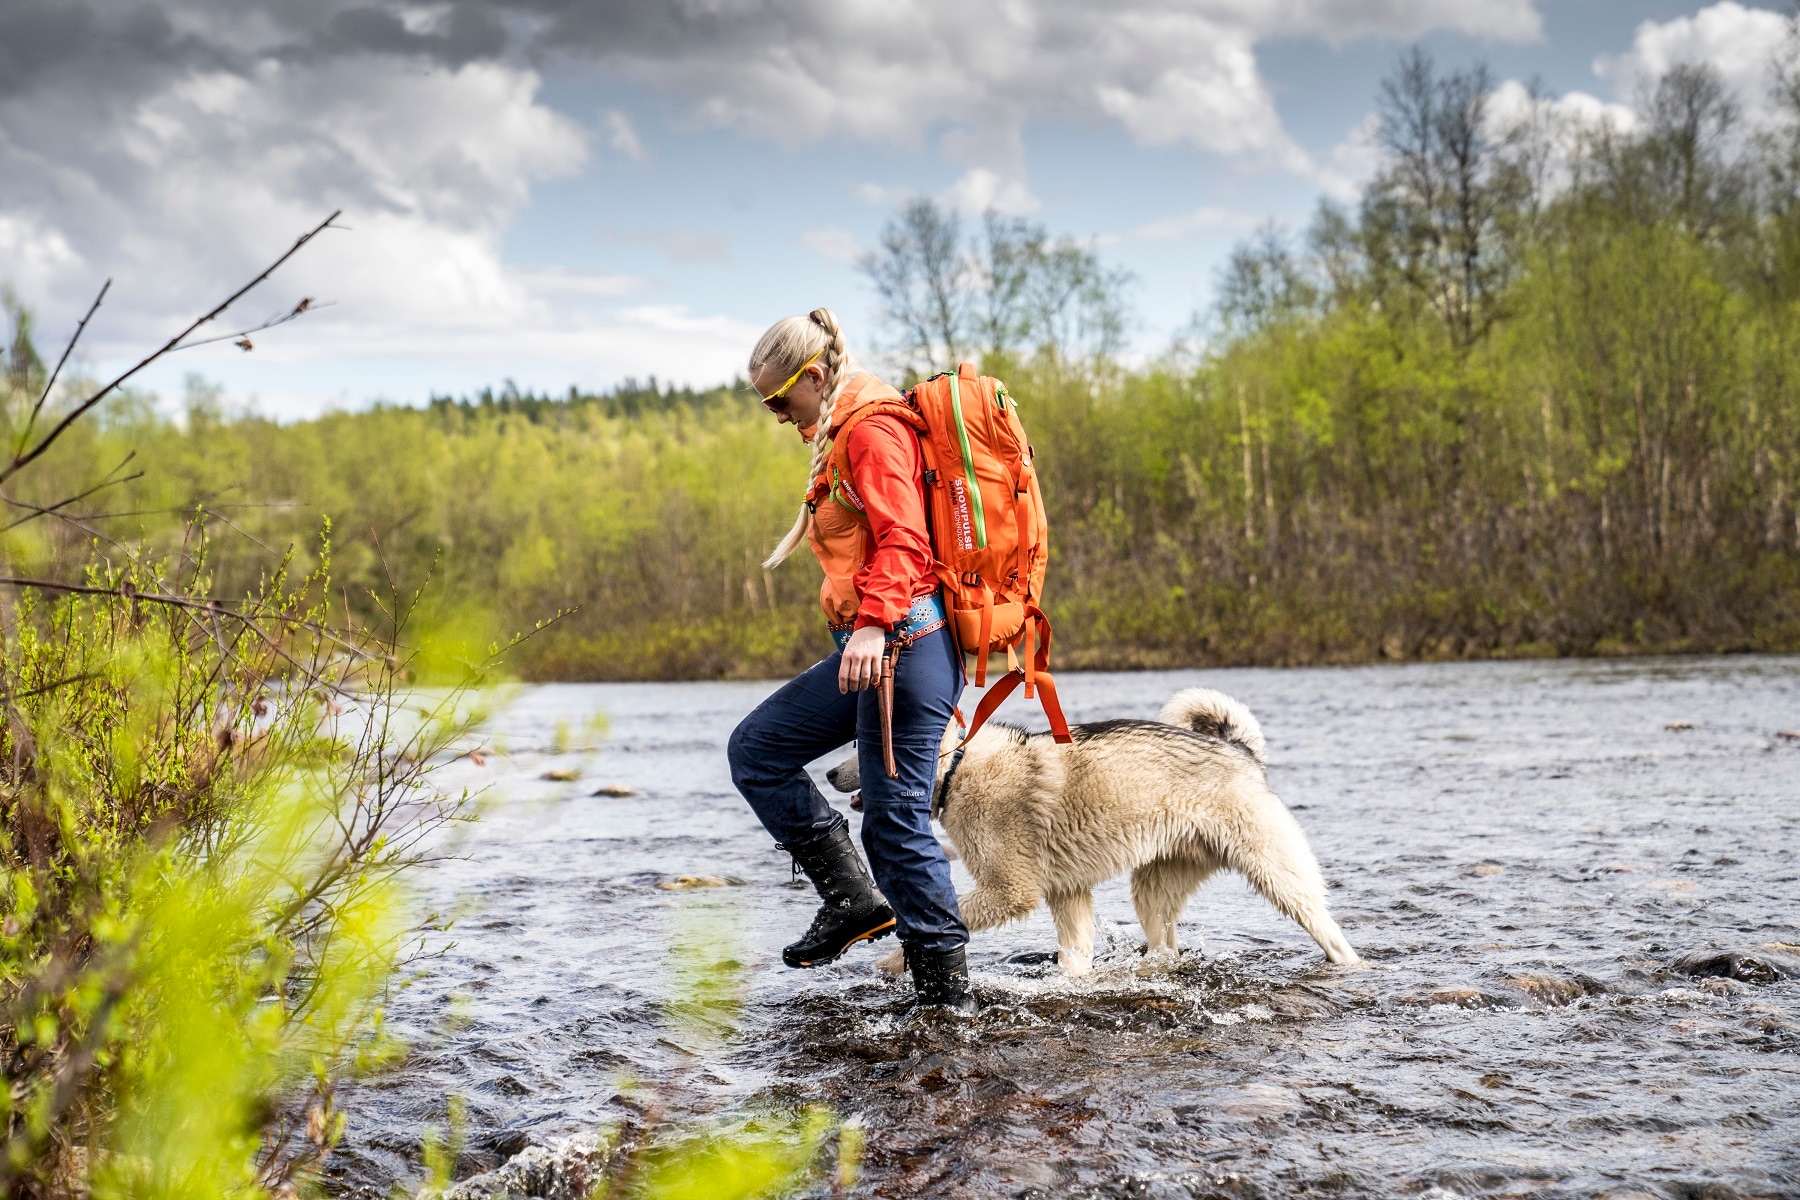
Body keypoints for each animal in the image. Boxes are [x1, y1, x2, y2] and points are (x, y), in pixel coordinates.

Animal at [824, 690, 1353, 978]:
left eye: (862, 744)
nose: (828, 774)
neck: (956, 765)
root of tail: (1240, 750)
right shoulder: (1068, 891)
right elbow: (1075, 956)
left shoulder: (1010, 891)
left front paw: (893, 961)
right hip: (1152, 891)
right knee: (1164, 943)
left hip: (1277, 876)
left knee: (1330, 932)